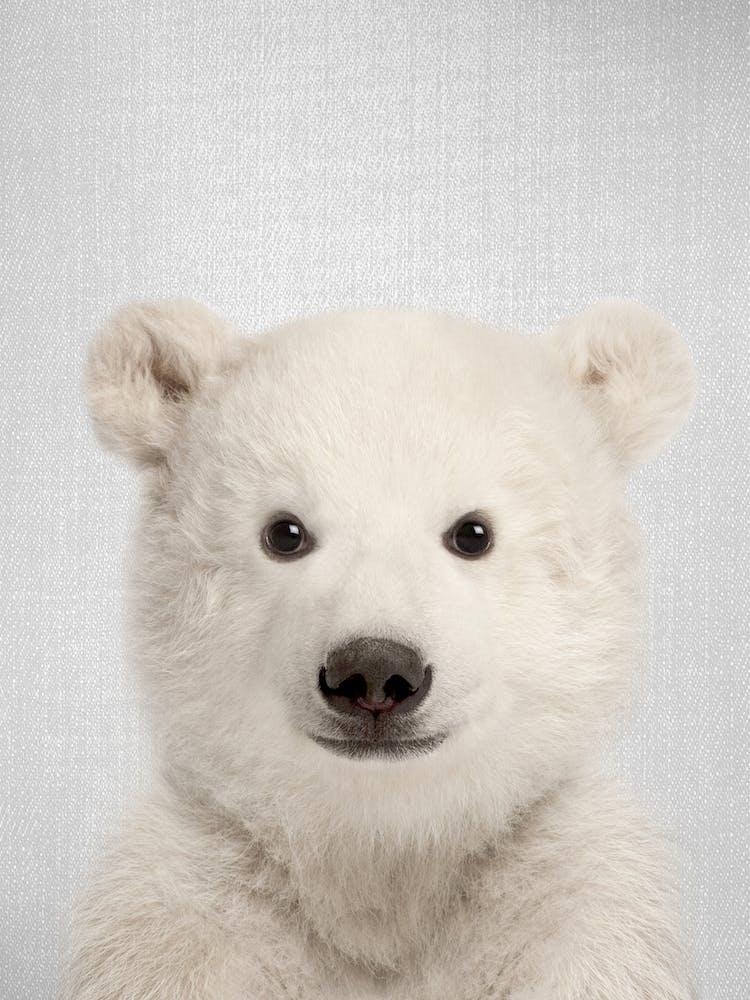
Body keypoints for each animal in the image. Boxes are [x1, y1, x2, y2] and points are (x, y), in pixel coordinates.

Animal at [65, 298, 697, 1000]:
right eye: (284, 532)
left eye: (473, 533)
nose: (374, 672)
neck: (383, 856)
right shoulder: (186, 915)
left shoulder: (571, 904)